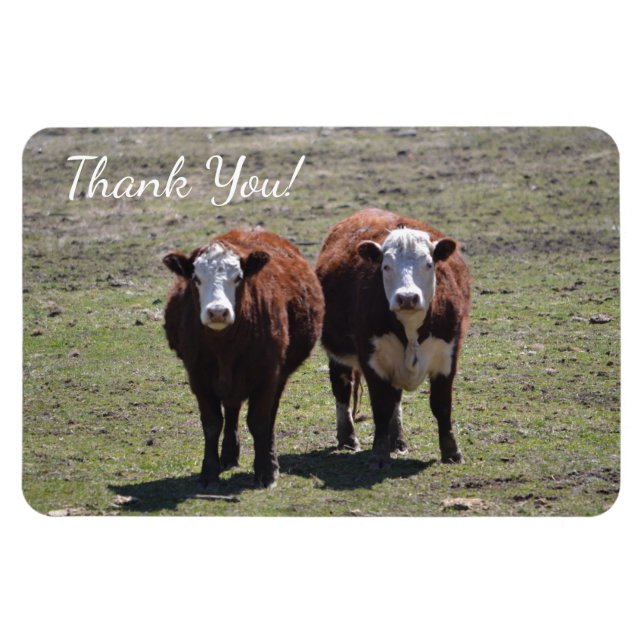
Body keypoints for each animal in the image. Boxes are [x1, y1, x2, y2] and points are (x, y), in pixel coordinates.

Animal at [163, 228, 324, 488]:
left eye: (238, 277)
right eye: (196, 278)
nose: (217, 311)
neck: (224, 348)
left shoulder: (268, 375)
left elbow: (259, 422)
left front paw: (266, 472)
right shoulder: (197, 375)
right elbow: (212, 423)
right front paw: (209, 472)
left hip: (278, 377)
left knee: (268, 418)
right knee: (232, 408)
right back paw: (229, 455)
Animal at [315, 208, 471, 468]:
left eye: (429, 264)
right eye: (386, 266)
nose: (407, 297)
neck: (410, 330)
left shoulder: (448, 356)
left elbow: (441, 405)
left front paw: (451, 452)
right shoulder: (372, 360)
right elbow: (381, 406)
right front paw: (379, 454)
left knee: (396, 399)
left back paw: (397, 440)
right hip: (338, 355)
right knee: (342, 388)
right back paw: (348, 438)